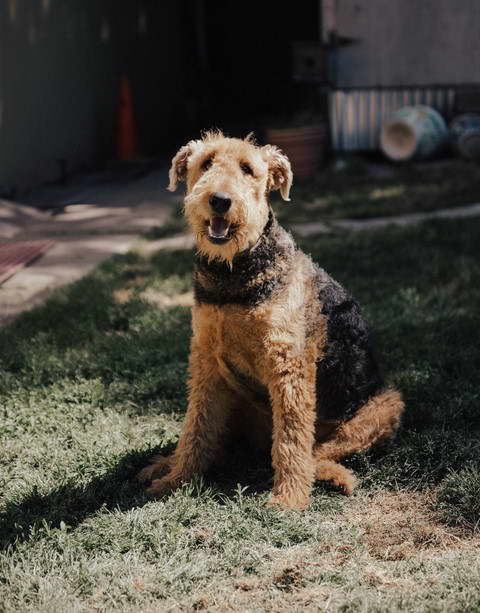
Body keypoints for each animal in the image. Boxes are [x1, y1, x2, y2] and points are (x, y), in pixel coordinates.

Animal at [137, 129, 404, 506]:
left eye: (248, 169)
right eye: (206, 163)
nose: (220, 200)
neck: (234, 273)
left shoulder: (287, 363)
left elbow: (291, 439)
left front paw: (289, 500)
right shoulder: (206, 358)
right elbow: (196, 426)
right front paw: (176, 480)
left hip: (383, 405)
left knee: (317, 452)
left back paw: (332, 477)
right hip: (236, 395)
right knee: (222, 442)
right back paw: (163, 464)